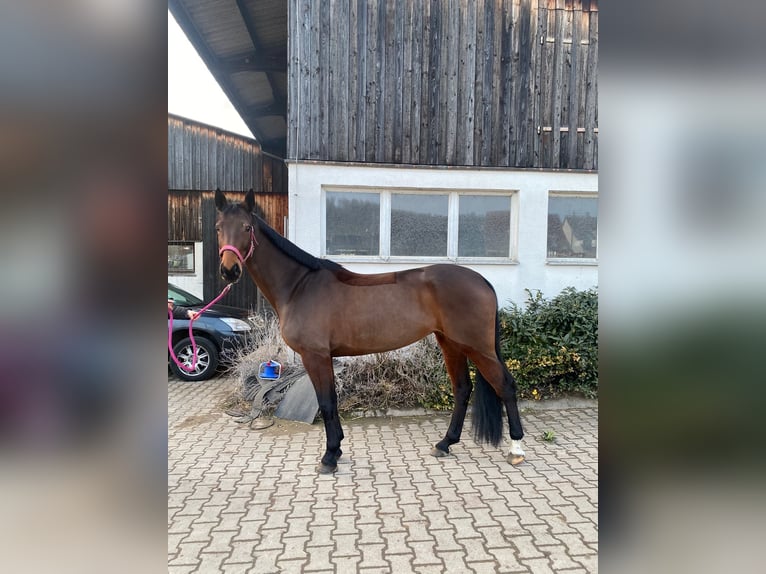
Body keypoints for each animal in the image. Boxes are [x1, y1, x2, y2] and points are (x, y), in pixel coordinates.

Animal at [215, 189, 525, 474]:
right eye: (219, 227)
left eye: (246, 227)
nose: (229, 271)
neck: (299, 286)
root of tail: (481, 280)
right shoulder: (324, 357)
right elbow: (331, 400)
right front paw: (337, 449)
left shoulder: (315, 355)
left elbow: (326, 402)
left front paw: (329, 457)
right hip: (450, 343)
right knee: (462, 389)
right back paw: (444, 444)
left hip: (477, 347)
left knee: (505, 386)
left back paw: (516, 449)